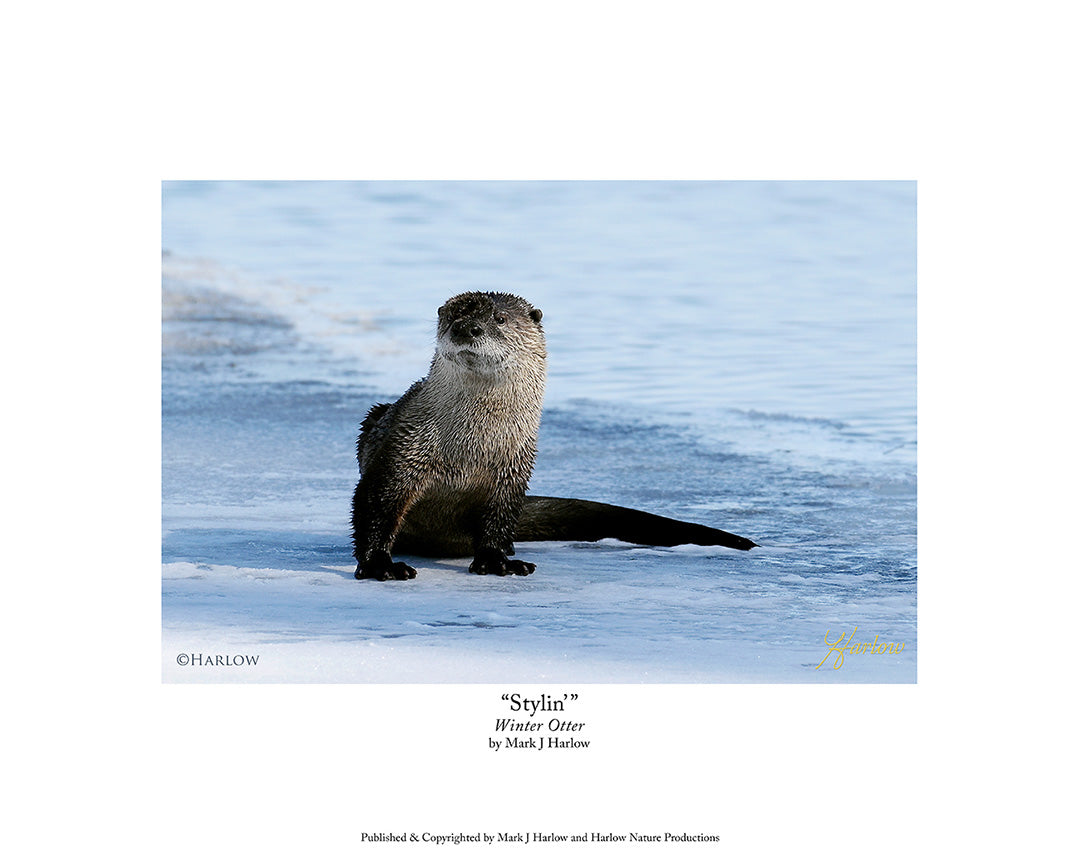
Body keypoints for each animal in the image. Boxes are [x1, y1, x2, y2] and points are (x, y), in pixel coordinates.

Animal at [351, 291, 757, 581]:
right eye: (453, 317)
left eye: (499, 319)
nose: (467, 328)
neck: (470, 447)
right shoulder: (402, 451)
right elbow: (376, 508)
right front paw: (379, 565)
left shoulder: (513, 471)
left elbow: (498, 519)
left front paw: (498, 562)